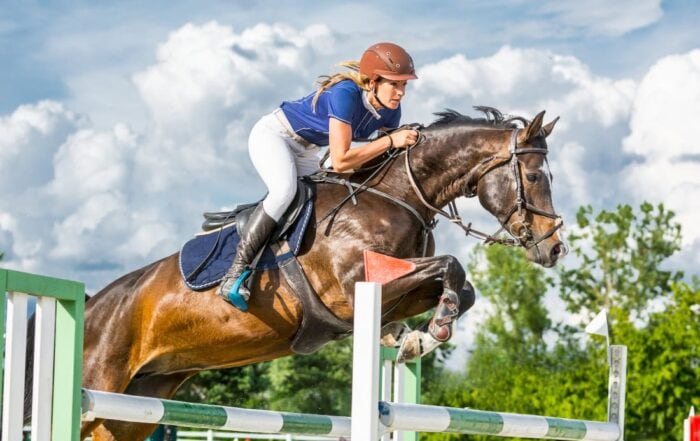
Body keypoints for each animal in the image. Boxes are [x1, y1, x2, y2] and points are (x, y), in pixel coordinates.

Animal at [79, 107, 565, 440]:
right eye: (535, 176)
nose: (554, 247)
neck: (395, 195)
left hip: (134, 407)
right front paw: (433, 328)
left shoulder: (400, 288)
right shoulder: (354, 290)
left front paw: (414, 339)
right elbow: (453, 266)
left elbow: (463, 288)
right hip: (100, 382)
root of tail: (92, 304)